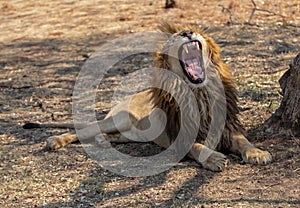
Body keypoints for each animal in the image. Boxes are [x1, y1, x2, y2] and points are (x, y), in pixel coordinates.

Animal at [23, 23, 272, 172]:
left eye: (194, 30)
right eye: (176, 36)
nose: (187, 33)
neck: (198, 93)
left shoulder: (227, 128)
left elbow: (244, 141)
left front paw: (258, 153)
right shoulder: (178, 137)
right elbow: (197, 147)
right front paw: (214, 158)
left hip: (131, 133)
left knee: (111, 136)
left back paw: (104, 141)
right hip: (117, 119)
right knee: (83, 130)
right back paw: (56, 140)